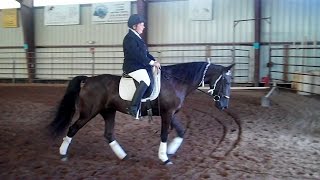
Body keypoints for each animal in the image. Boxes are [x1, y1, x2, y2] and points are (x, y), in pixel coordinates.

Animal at [50, 61, 235, 164]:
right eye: (226, 81)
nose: (224, 105)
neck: (176, 82)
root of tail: (88, 80)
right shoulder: (167, 114)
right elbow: (164, 135)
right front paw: (164, 157)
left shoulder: (171, 113)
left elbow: (181, 131)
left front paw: (171, 150)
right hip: (88, 113)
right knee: (73, 129)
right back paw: (63, 154)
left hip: (108, 111)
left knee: (108, 134)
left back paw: (123, 156)